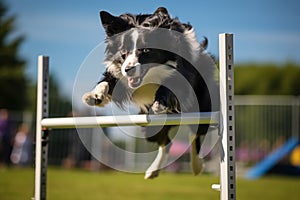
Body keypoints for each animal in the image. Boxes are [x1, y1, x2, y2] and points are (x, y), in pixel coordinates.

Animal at [83, 7, 219, 179]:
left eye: (146, 50)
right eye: (123, 51)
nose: (128, 69)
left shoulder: (182, 73)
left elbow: (169, 86)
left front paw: (159, 103)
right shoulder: (120, 74)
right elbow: (108, 81)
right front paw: (95, 96)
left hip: (204, 107)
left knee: (196, 132)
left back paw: (196, 165)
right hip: (149, 128)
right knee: (167, 143)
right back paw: (153, 171)